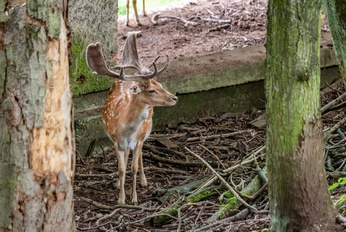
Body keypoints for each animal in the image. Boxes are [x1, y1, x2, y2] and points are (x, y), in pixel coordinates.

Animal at [85, 33, 177, 204]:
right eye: (152, 90)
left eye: (161, 85)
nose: (175, 98)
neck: (126, 129)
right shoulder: (116, 141)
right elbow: (121, 168)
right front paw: (121, 199)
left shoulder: (138, 139)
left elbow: (133, 167)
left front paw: (134, 198)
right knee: (127, 156)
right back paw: (117, 183)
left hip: (146, 131)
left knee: (139, 156)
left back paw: (144, 180)